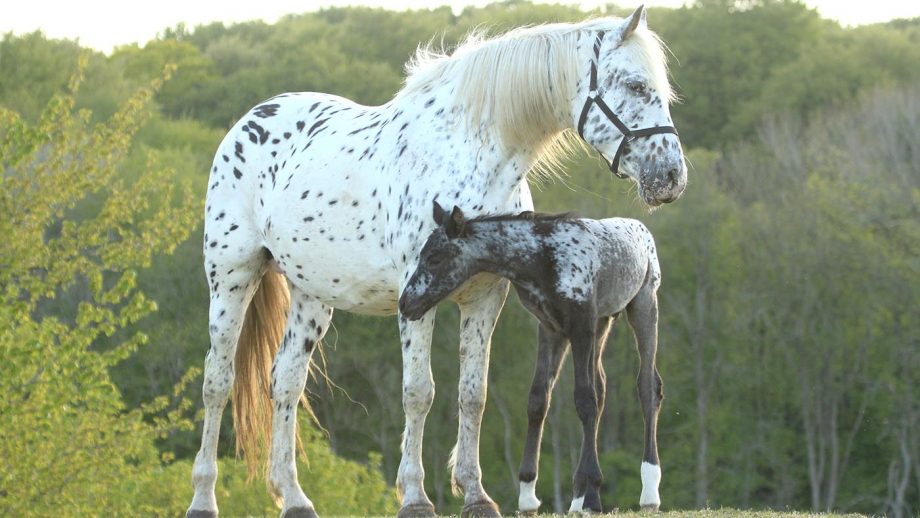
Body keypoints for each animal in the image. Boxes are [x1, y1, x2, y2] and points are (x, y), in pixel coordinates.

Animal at [399, 202, 664, 514]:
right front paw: (527, 493)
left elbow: (584, 400)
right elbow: (539, 399)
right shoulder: (551, 328)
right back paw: (582, 497)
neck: (544, 259)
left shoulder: (580, 326)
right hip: (603, 323)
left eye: (435, 258)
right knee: (602, 388)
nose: (406, 304)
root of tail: (642, 229)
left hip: (643, 306)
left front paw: (590, 495)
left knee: (647, 386)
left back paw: (648, 491)